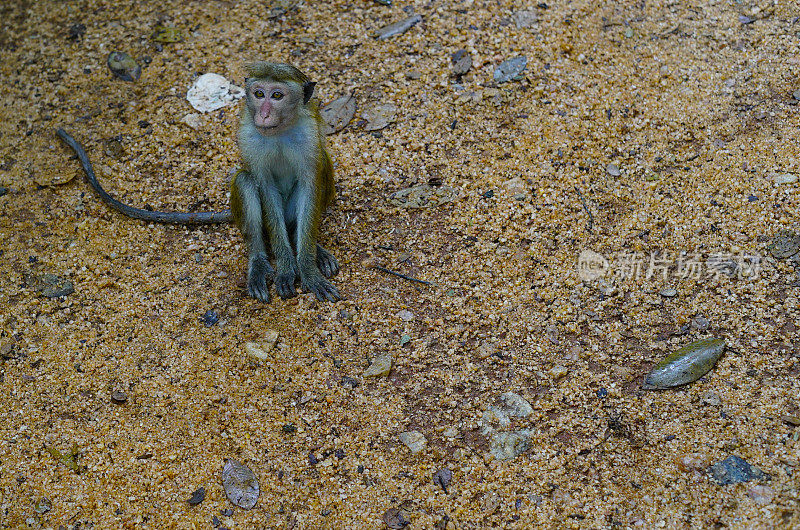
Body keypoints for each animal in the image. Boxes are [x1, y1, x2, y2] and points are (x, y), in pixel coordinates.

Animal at [56, 60, 340, 302]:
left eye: (277, 96)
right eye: (259, 94)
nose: (264, 115)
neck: (279, 131)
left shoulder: (308, 136)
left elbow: (310, 183)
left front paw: (307, 267)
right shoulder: (249, 136)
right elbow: (264, 187)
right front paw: (285, 268)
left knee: (319, 174)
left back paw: (312, 247)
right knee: (245, 181)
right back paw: (259, 261)